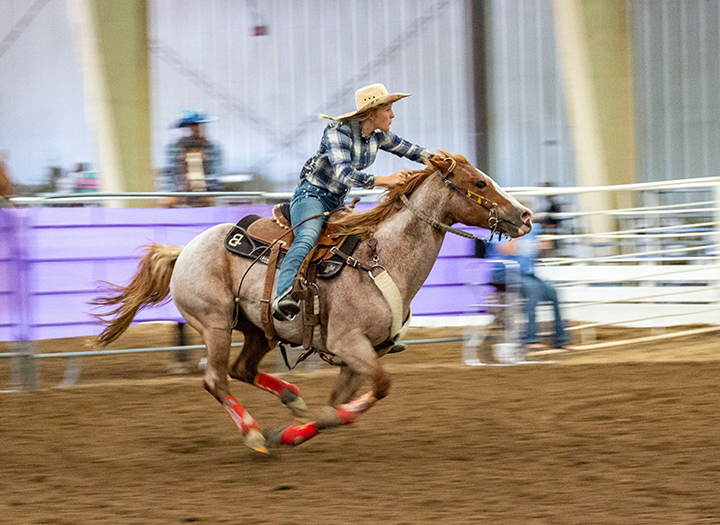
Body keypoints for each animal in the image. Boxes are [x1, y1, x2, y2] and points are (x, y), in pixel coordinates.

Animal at [90, 151, 532, 450]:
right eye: (479, 184)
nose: (526, 215)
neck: (380, 257)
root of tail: (184, 249)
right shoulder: (348, 343)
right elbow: (379, 389)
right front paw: (284, 432)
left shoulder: (363, 353)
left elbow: (337, 407)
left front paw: (294, 432)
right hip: (215, 324)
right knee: (216, 378)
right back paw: (254, 435)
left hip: (257, 329)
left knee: (241, 368)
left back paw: (292, 400)